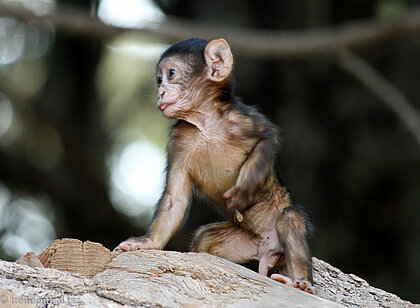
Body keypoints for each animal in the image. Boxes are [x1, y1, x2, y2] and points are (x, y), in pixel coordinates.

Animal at [115, 37, 316, 292]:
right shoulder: (178, 140)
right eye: (159, 79)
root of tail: (266, 251)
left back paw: (299, 282)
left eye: (171, 73)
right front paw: (146, 242)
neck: (205, 122)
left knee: (290, 217)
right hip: (243, 241)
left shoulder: (241, 119)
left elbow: (269, 137)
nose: (160, 92)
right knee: (205, 239)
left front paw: (244, 190)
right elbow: (175, 200)